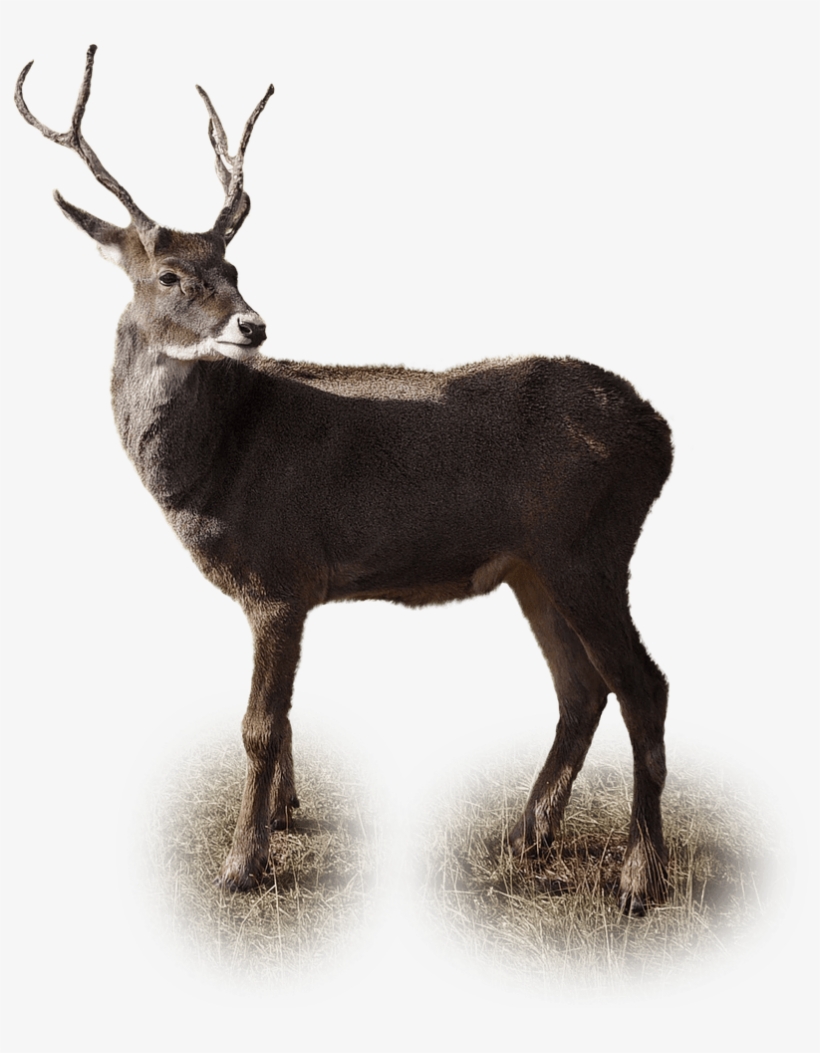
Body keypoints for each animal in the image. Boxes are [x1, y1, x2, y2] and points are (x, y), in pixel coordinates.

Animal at [16, 46, 673, 915]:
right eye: (170, 275)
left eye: (232, 264)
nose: (253, 324)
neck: (216, 461)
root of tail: (663, 433)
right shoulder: (282, 588)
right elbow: (286, 717)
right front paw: (284, 817)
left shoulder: (280, 572)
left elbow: (259, 724)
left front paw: (241, 864)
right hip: (534, 564)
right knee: (582, 688)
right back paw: (527, 835)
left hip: (589, 544)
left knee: (643, 683)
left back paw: (639, 875)